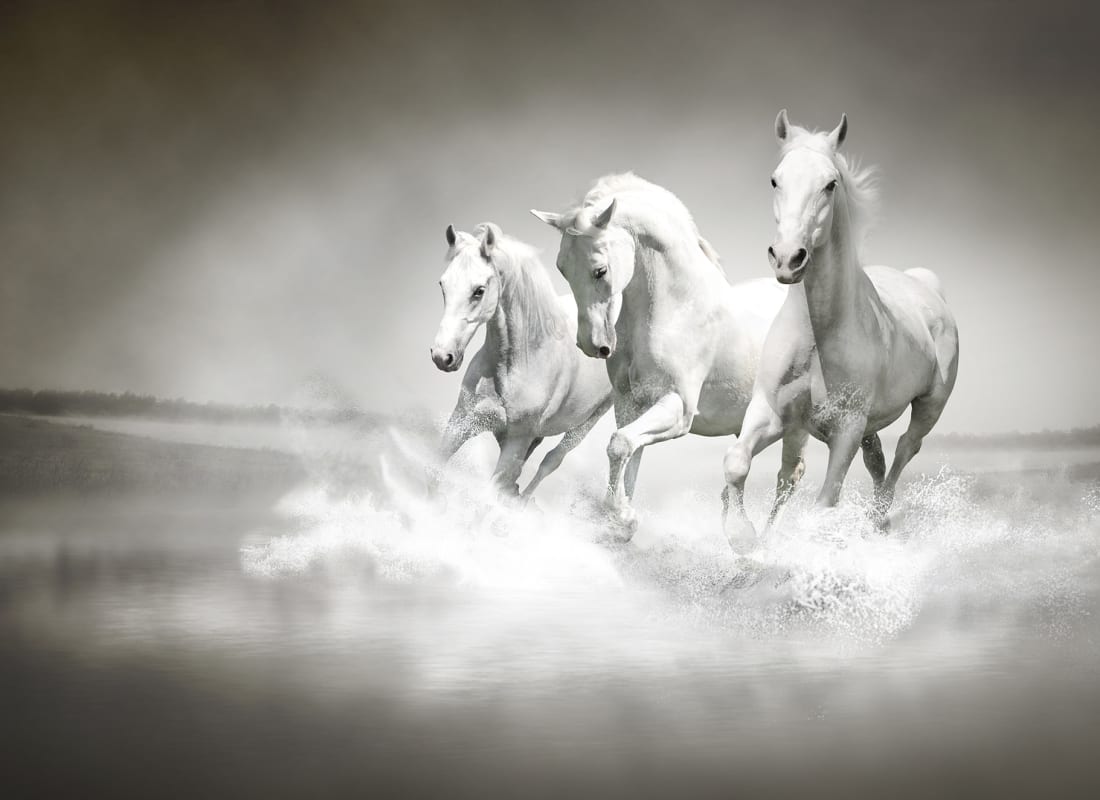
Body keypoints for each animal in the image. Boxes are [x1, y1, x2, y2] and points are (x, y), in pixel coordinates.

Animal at [430, 222, 613, 499]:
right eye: (443, 284)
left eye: (479, 291)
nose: (442, 356)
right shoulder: (462, 421)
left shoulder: (516, 441)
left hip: (587, 422)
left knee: (551, 461)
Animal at [531, 174, 798, 535]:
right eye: (562, 269)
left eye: (600, 270)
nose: (592, 344)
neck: (677, 308)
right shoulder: (630, 404)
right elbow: (628, 452)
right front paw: (622, 519)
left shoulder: (678, 407)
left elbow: (620, 445)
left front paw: (623, 516)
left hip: (795, 425)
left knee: (789, 478)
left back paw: (761, 541)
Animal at [721, 111, 959, 548]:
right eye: (775, 179)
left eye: (830, 184)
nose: (787, 259)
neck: (819, 335)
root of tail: (927, 287)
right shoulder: (771, 412)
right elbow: (737, 462)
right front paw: (744, 538)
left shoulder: (846, 429)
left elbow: (825, 502)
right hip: (863, 426)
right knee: (873, 459)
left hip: (929, 405)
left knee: (906, 449)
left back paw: (878, 519)